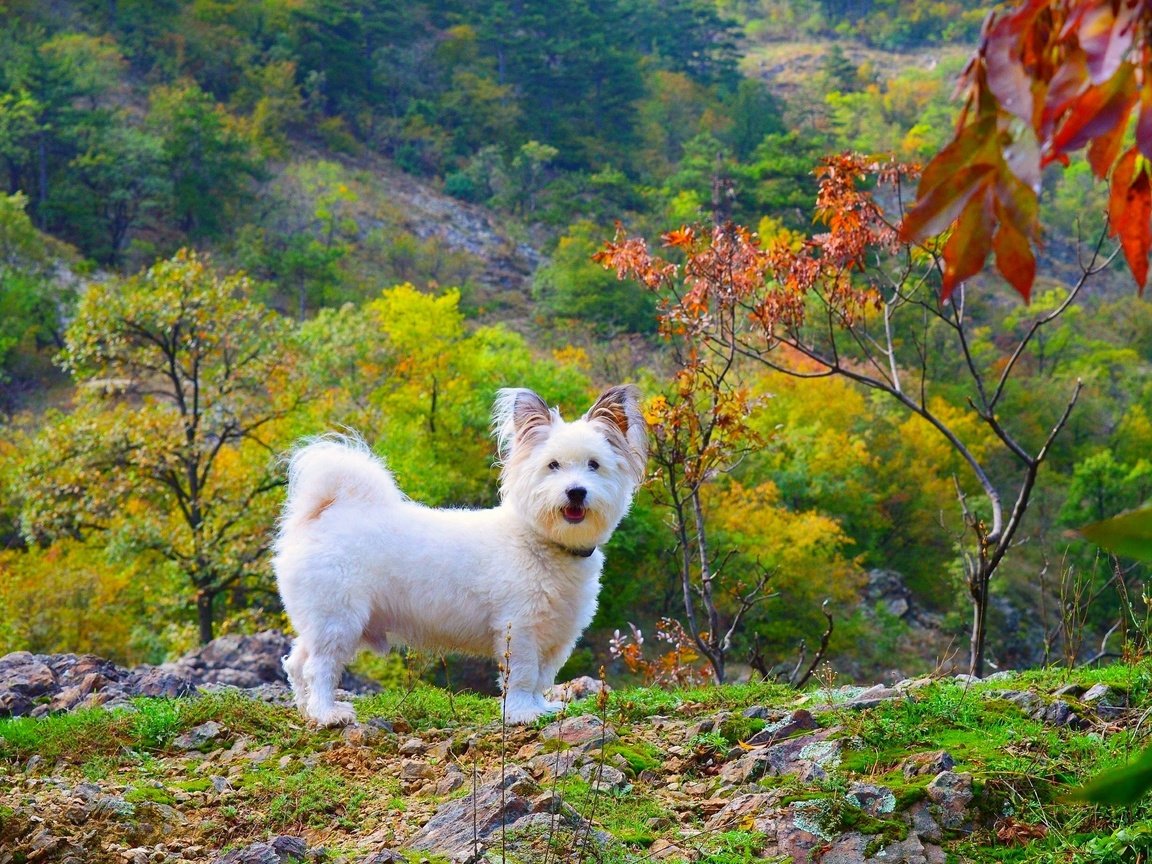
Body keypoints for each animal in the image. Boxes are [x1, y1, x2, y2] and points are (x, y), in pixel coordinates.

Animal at [270, 384, 649, 723]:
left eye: (594, 465)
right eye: (553, 465)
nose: (576, 492)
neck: (541, 541)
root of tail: (325, 514)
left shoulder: (558, 635)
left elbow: (542, 677)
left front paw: (541, 708)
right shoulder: (520, 629)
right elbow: (524, 675)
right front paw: (521, 714)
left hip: (321, 620)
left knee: (297, 663)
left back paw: (306, 710)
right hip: (338, 618)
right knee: (319, 667)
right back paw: (327, 713)